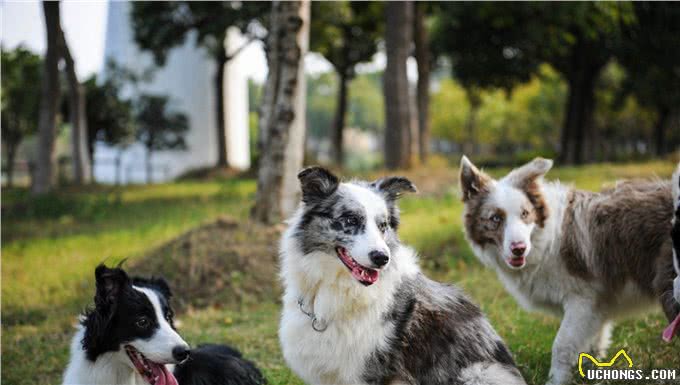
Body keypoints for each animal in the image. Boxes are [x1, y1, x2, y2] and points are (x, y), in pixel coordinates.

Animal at [278, 167, 524, 384]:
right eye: (350, 220)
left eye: (383, 225)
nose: (381, 258)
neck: (341, 288)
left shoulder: (372, 372)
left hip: (479, 373)